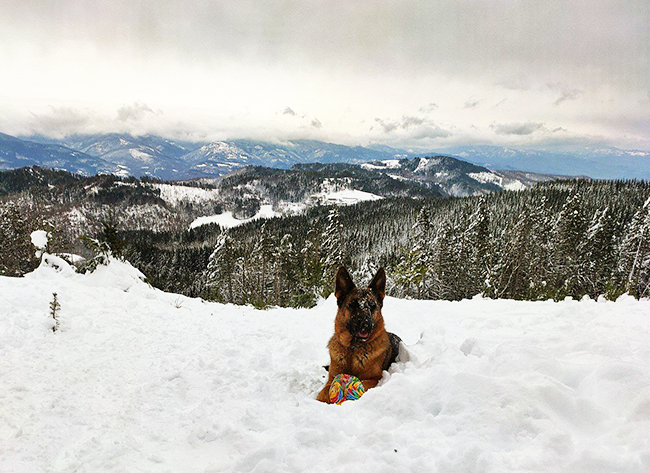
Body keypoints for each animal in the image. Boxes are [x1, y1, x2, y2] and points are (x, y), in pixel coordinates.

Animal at [316, 266, 400, 402]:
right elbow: (323, 392)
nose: (366, 324)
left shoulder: (374, 379)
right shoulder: (331, 379)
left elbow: (362, 383)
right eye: (353, 304)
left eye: (372, 306)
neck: (353, 349)